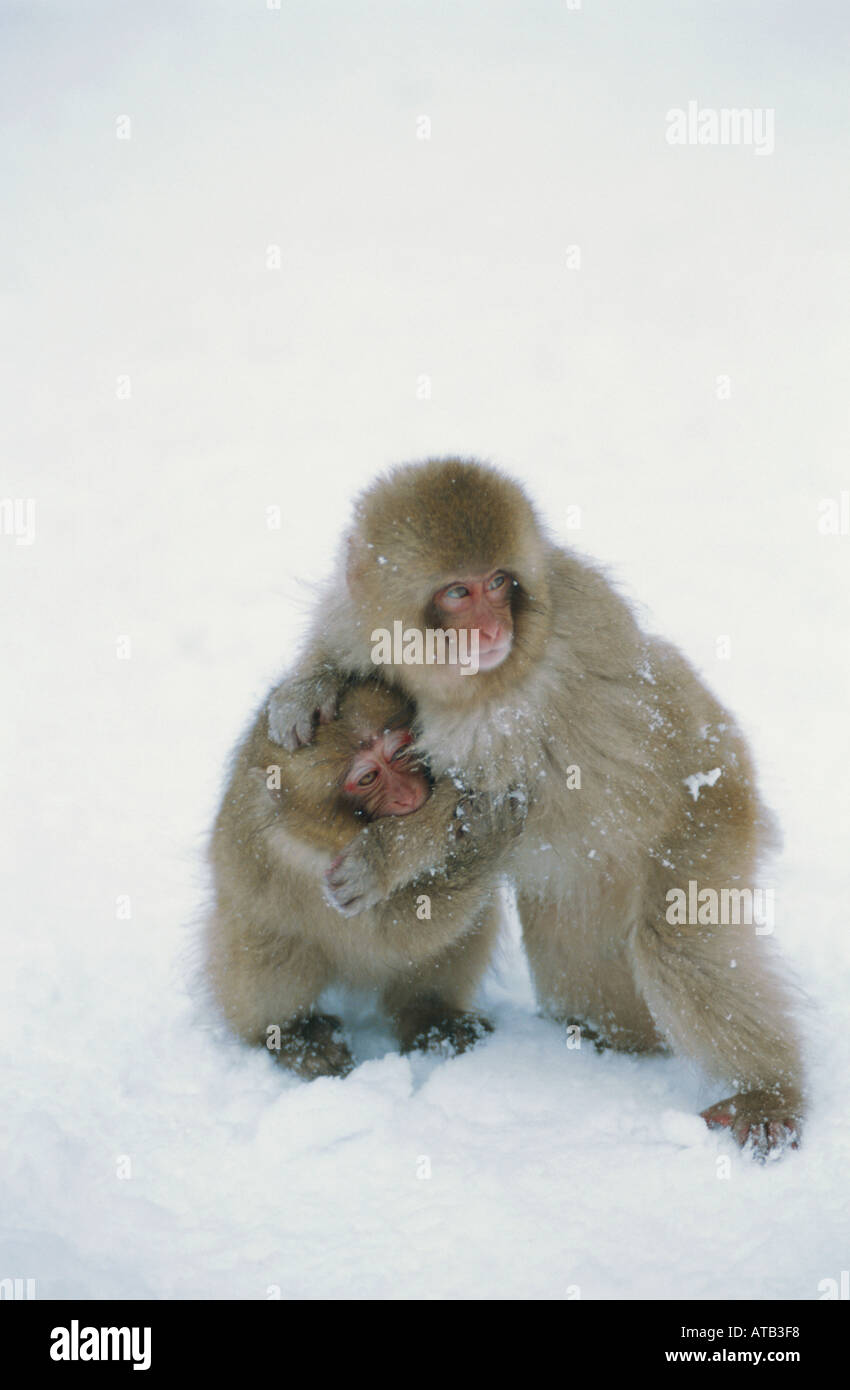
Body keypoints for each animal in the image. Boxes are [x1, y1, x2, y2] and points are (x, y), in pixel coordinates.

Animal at [206, 675, 511, 1073]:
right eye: (367, 778)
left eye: (399, 752)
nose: (407, 794)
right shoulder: (304, 860)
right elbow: (395, 934)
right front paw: (492, 829)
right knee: (275, 944)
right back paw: (290, 1033)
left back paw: (430, 1016)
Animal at [269, 455, 805, 1150]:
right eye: (458, 592)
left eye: (500, 581)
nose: (494, 628)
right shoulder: (360, 612)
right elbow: (346, 646)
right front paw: (307, 687)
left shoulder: (530, 697)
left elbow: (510, 797)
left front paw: (386, 855)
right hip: (589, 872)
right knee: (579, 960)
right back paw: (614, 1039)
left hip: (711, 804)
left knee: (679, 943)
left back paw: (767, 1092)